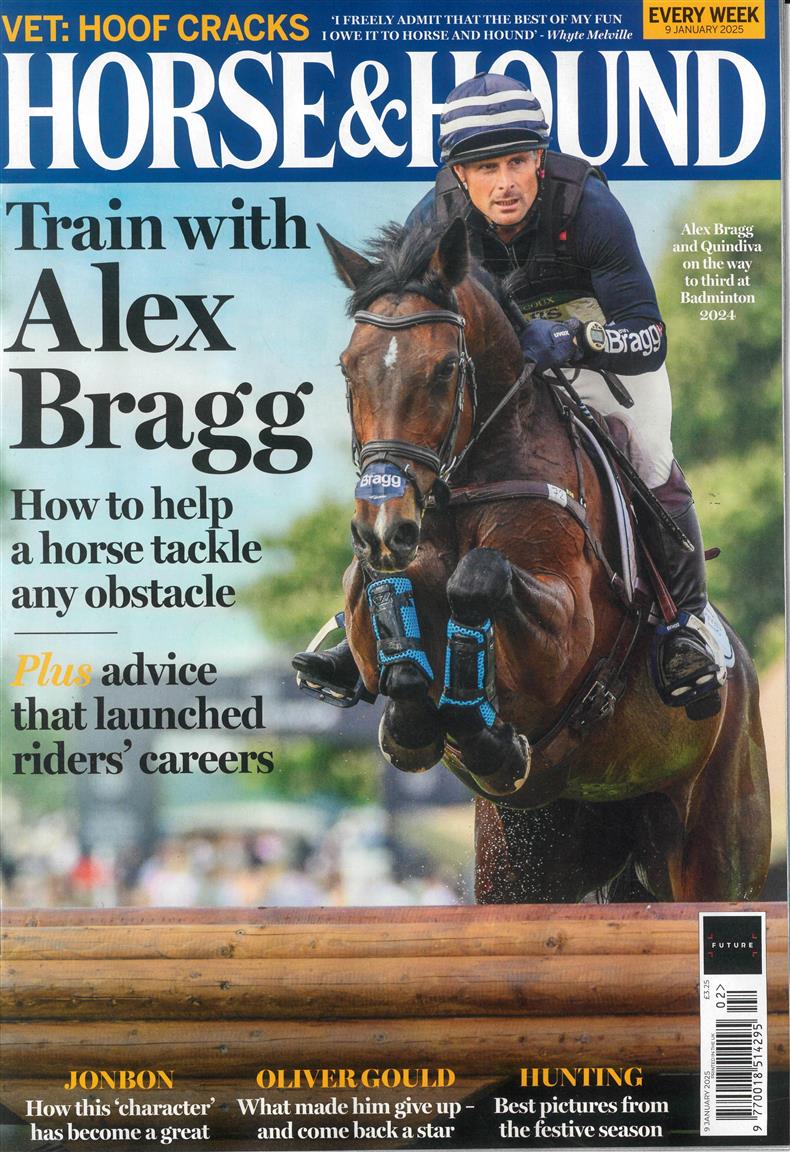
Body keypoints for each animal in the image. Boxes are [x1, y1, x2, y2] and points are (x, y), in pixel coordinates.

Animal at [319, 216, 770, 904]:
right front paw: (413, 718)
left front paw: (485, 735)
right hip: (527, 867)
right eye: (349, 369)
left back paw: (689, 652)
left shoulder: (566, 634)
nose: (384, 526)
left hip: (713, 854)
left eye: (445, 369)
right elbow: (377, 593)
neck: (464, 482)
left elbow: (480, 577)